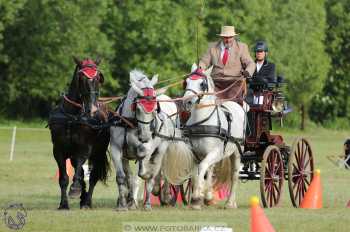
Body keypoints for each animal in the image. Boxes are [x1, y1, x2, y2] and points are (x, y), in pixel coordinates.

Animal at [48, 57, 110, 209]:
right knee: (81, 171)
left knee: (93, 176)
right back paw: (83, 197)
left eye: (98, 78)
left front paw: (75, 189)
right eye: (81, 78)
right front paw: (63, 204)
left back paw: (87, 201)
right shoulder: (58, 150)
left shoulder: (84, 149)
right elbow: (64, 178)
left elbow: (80, 172)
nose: (92, 109)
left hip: (98, 152)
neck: (72, 116)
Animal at [110, 70, 165, 211]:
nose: (145, 136)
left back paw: (147, 203)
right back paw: (129, 200)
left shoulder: (148, 148)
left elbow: (143, 165)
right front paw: (122, 204)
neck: (130, 122)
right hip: (125, 158)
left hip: (159, 153)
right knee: (129, 176)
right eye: (138, 108)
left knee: (150, 177)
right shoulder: (115, 149)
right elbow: (121, 177)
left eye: (155, 109)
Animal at [163, 63, 247, 208]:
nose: (187, 102)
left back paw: (230, 203)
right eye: (186, 82)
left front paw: (197, 196)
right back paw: (208, 196)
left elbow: (202, 168)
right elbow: (195, 174)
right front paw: (198, 199)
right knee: (211, 170)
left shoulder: (215, 152)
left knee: (234, 174)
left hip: (236, 151)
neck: (202, 122)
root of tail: (235, 104)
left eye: (202, 84)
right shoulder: (195, 153)